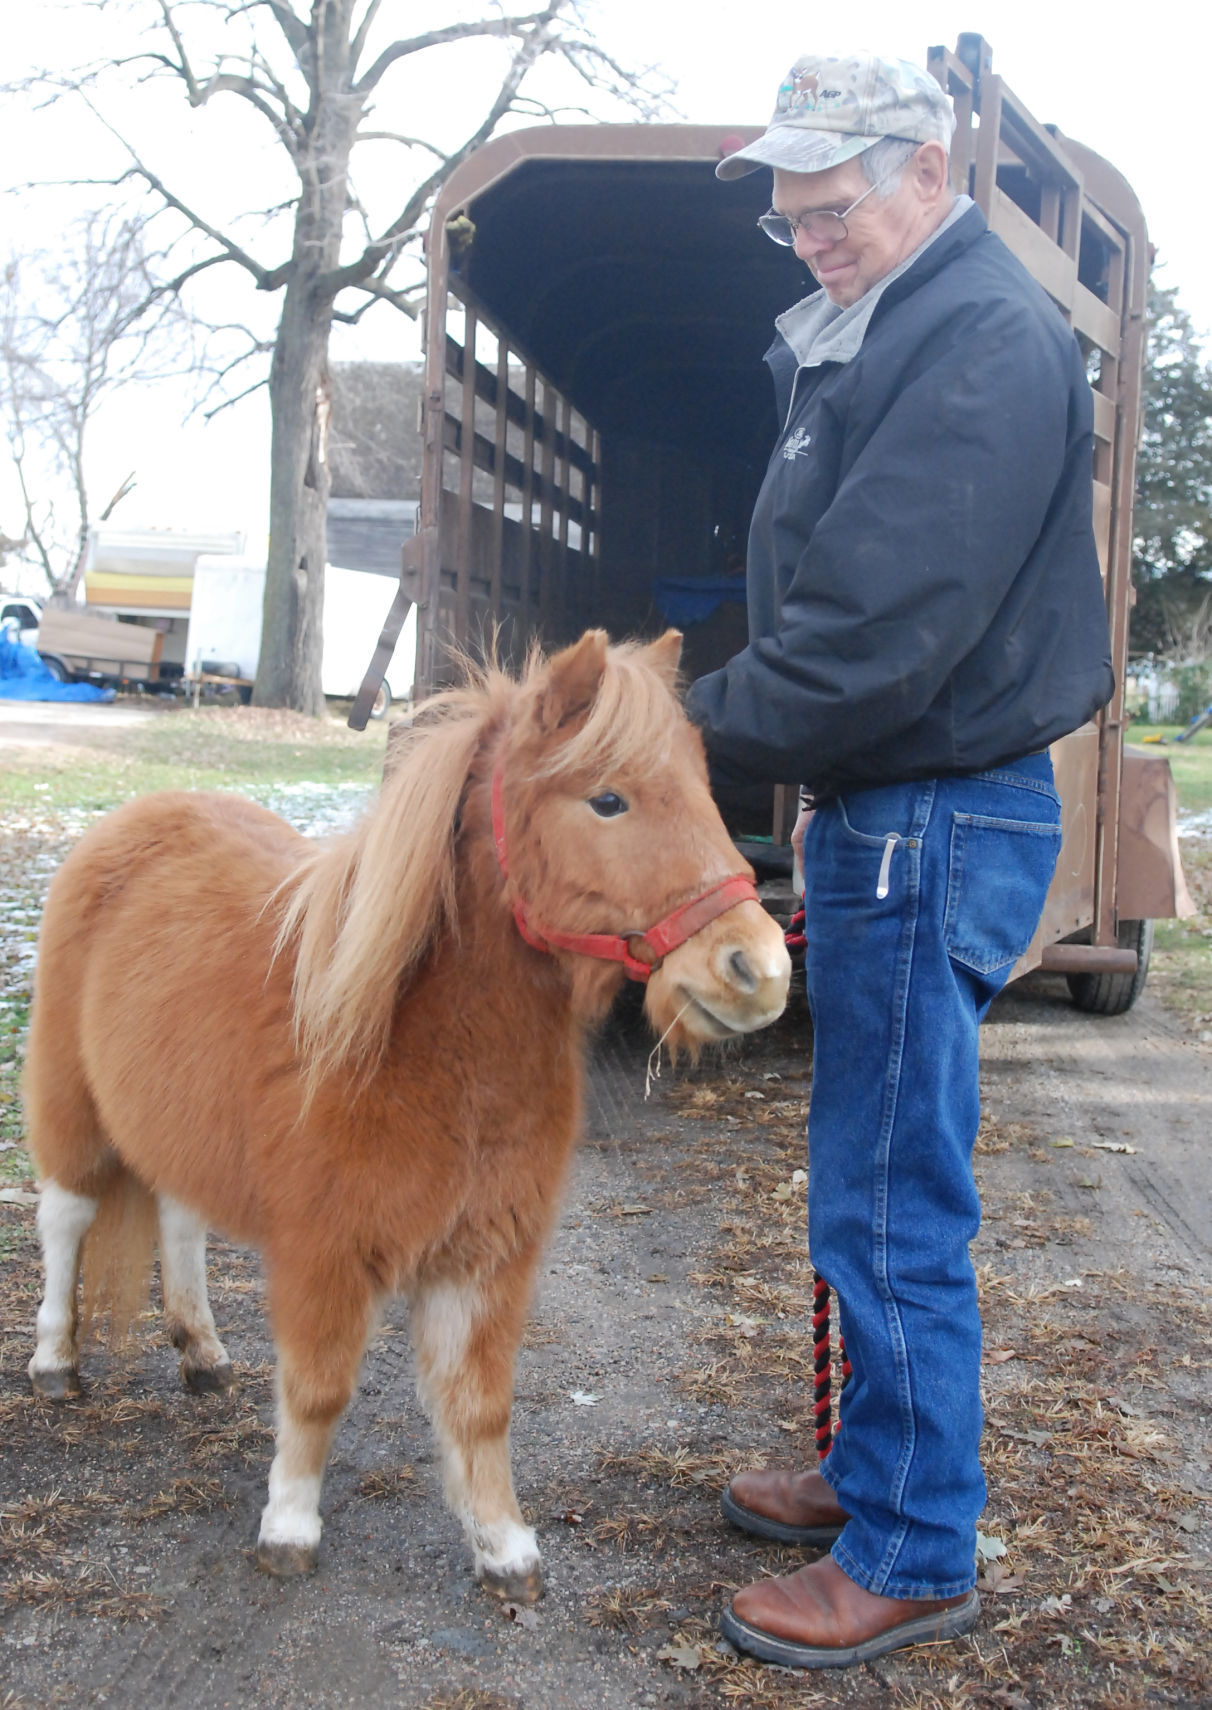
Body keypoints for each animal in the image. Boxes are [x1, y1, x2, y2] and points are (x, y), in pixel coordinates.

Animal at [28, 632, 789, 1600]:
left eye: (704, 786)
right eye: (608, 799)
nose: (760, 970)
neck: (419, 1042)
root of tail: (130, 824)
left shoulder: (488, 1259)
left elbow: (480, 1405)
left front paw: (503, 1545)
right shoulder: (324, 1257)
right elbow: (317, 1392)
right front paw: (289, 1527)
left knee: (181, 1223)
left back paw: (201, 1351)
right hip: (73, 1110)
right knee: (65, 1218)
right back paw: (55, 1363)